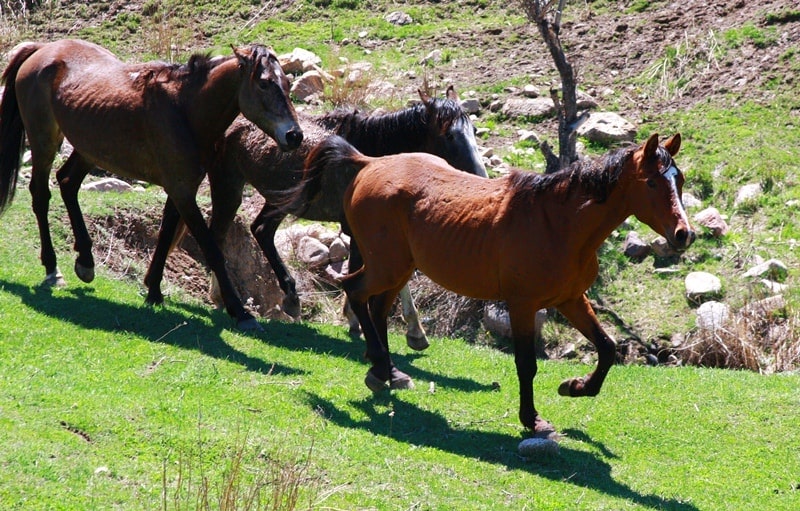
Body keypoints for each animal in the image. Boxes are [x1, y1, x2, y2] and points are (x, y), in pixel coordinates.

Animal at [0, 39, 302, 328]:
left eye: (287, 84)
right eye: (264, 83)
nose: (295, 135)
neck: (185, 110)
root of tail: (42, 50)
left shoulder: (181, 188)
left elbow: (165, 235)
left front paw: (154, 292)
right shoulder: (182, 191)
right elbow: (212, 250)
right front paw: (241, 313)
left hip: (88, 149)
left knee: (67, 182)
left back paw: (85, 260)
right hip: (44, 142)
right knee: (41, 196)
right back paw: (53, 269)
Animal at [300, 133, 692, 436]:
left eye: (681, 180)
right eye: (652, 182)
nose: (684, 234)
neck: (559, 224)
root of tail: (369, 164)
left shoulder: (570, 300)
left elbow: (608, 348)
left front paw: (575, 387)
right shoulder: (522, 306)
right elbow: (527, 364)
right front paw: (532, 419)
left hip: (399, 269)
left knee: (377, 308)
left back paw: (389, 372)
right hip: (386, 267)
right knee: (355, 292)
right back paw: (381, 366)